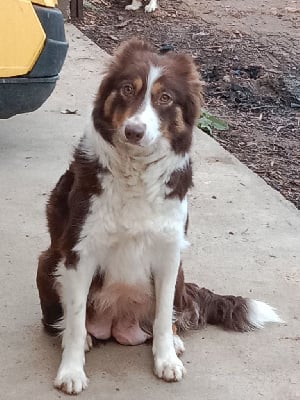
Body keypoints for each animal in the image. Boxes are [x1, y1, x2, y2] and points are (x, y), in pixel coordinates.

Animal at [36, 39, 282, 396]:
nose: (134, 131)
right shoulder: (79, 253)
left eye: (165, 98)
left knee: (166, 318)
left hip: (180, 271)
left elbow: (165, 316)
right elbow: (77, 318)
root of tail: (118, 324)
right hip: (49, 260)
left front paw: (166, 359)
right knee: (67, 321)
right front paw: (71, 370)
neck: (135, 170)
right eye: (127, 89)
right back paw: (81, 338)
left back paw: (175, 342)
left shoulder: (169, 253)